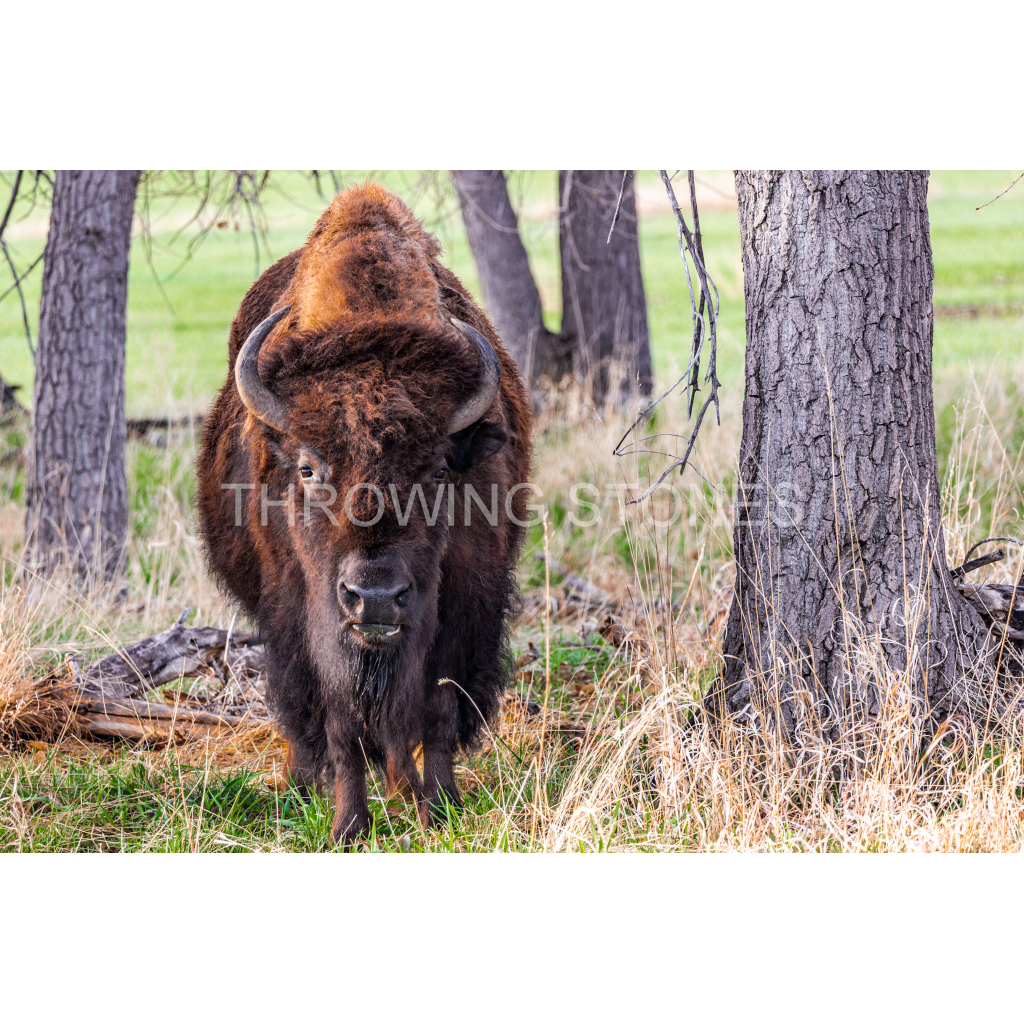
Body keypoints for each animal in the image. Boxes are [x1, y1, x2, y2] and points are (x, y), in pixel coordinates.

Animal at [197, 184, 533, 843]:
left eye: (438, 471)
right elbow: (338, 722)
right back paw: (302, 784)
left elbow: (437, 709)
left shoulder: (460, 608)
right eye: (307, 469)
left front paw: (441, 810)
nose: (374, 597)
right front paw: (347, 827)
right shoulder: (309, 621)